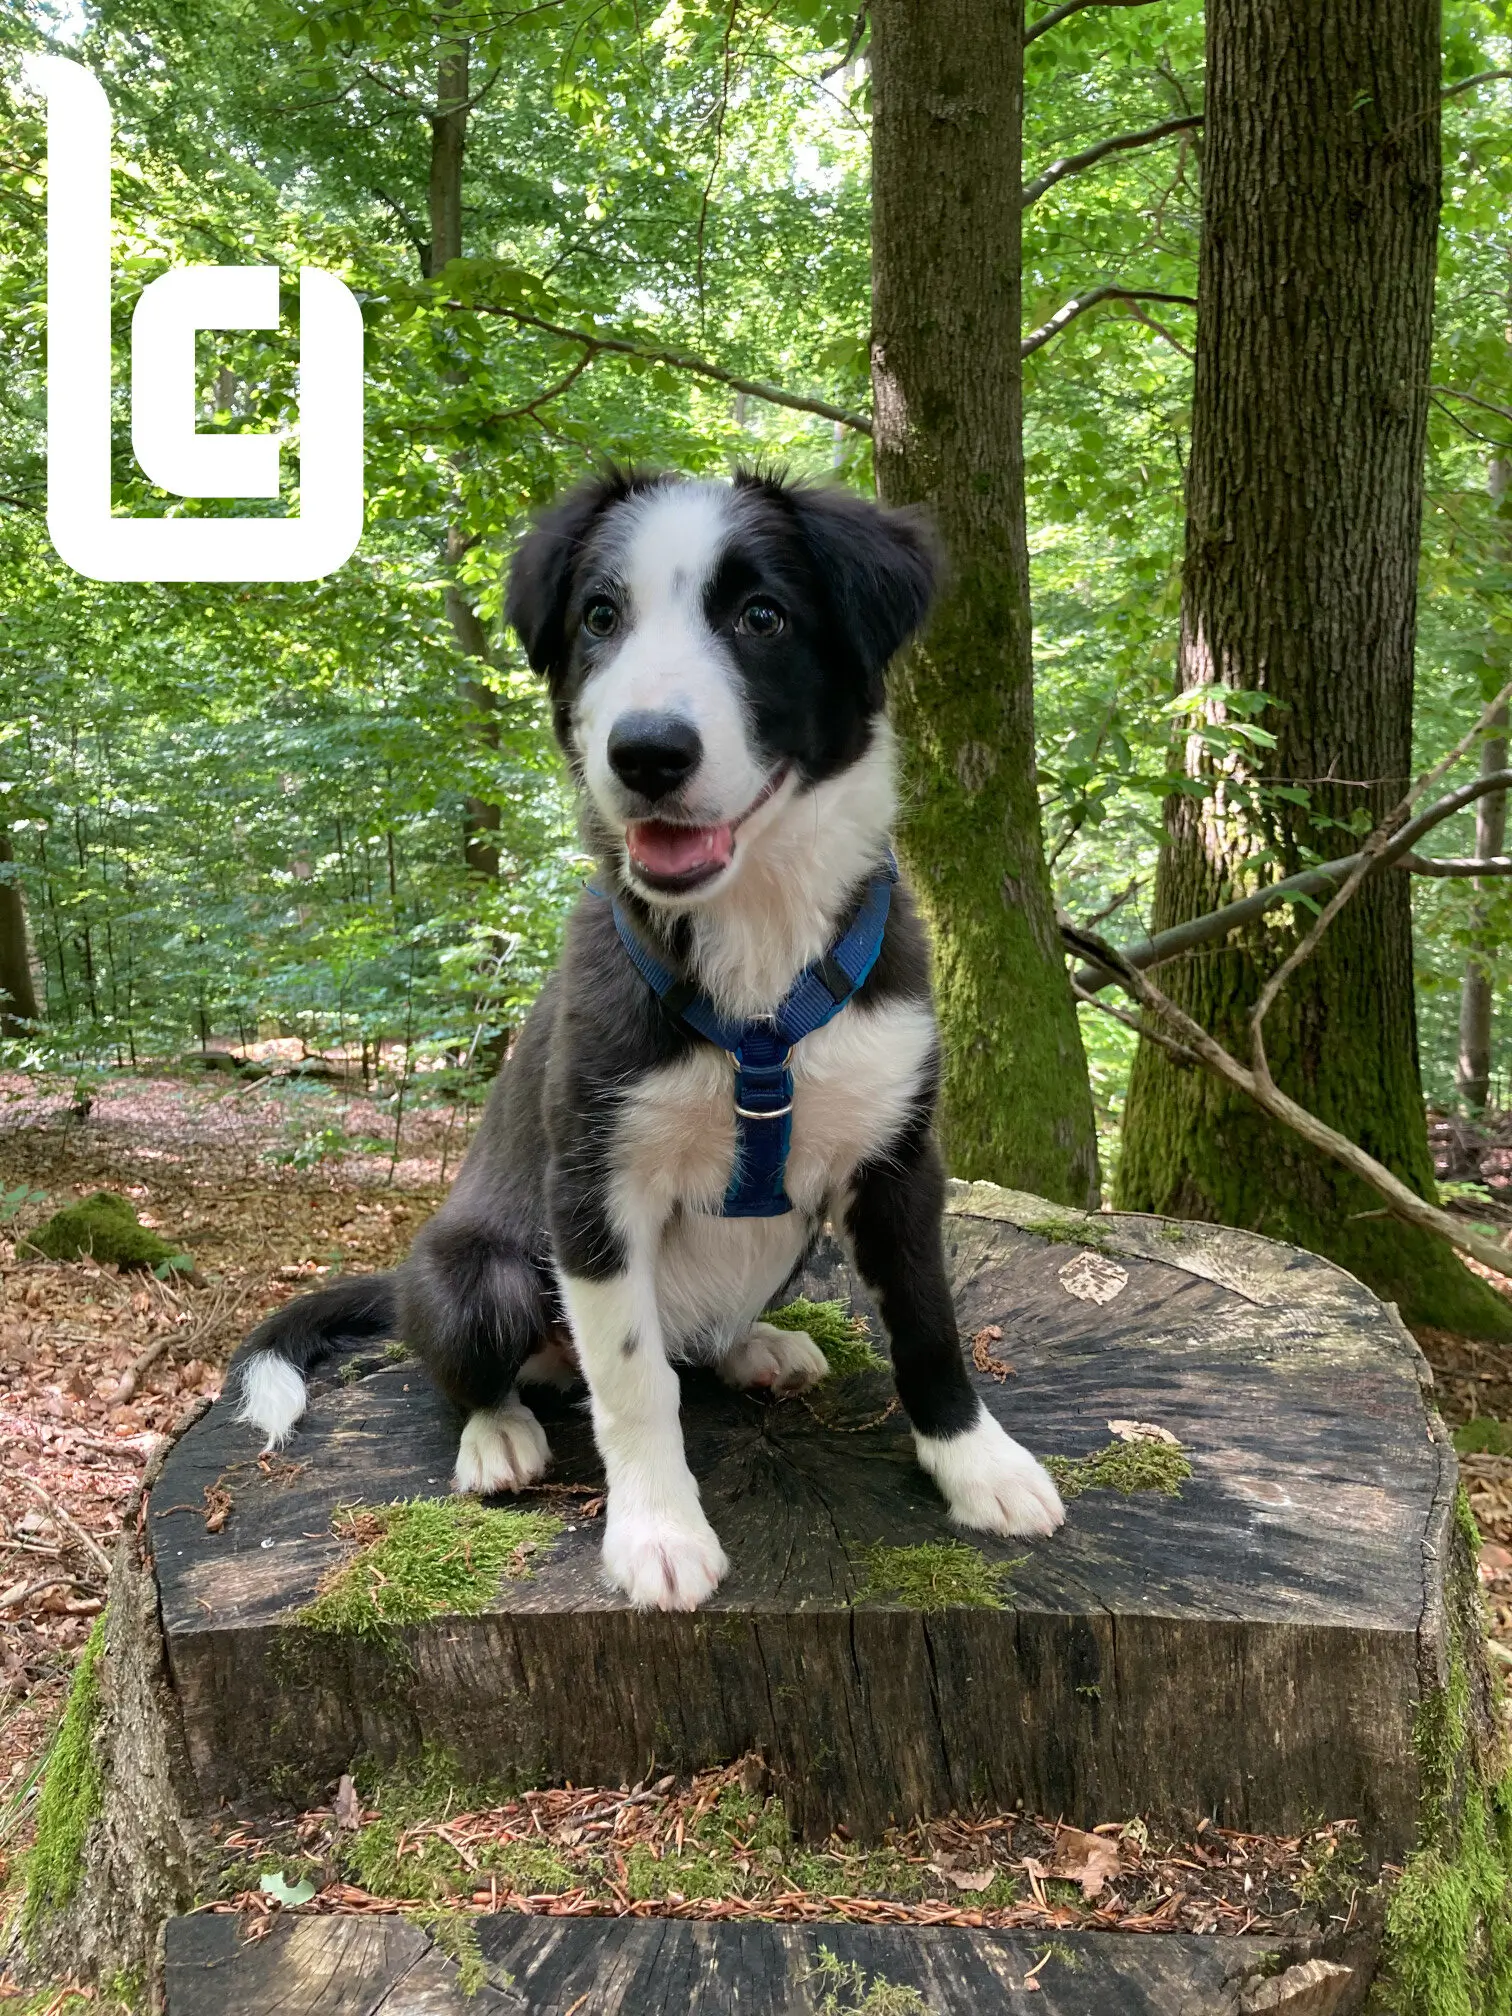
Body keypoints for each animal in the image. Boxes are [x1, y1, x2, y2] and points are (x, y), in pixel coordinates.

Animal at [233, 467, 1064, 1604]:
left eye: (762, 617)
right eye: (599, 617)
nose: (647, 753)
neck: (755, 943)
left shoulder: (900, 1156)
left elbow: (930, 1322)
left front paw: (979, 1465)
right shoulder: (594, 1181)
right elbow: (630, 1382)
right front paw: (658, 1532)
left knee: (695, 1346)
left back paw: (755, 1348)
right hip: (479, 1275)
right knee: (482, 1371)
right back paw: (496, 1436)